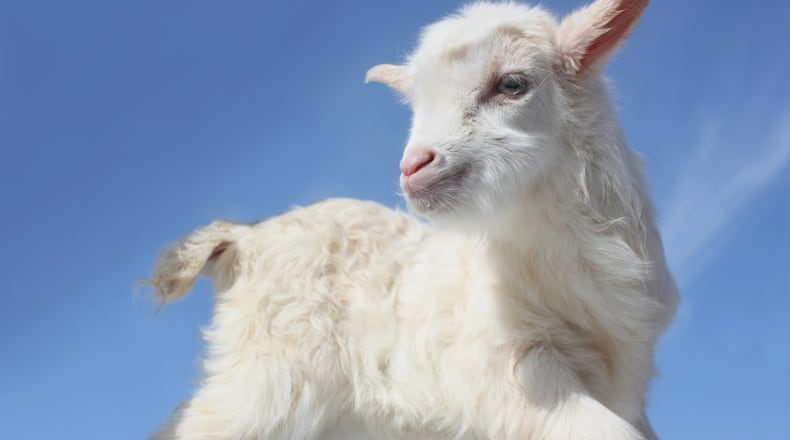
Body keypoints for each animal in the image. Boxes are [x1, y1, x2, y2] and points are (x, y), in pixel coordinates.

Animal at [147, 1, 678, 438]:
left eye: (512, 84)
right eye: (418, 105)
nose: (413, 167)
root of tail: (245, 235)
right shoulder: (510, 368)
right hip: (269, 378)